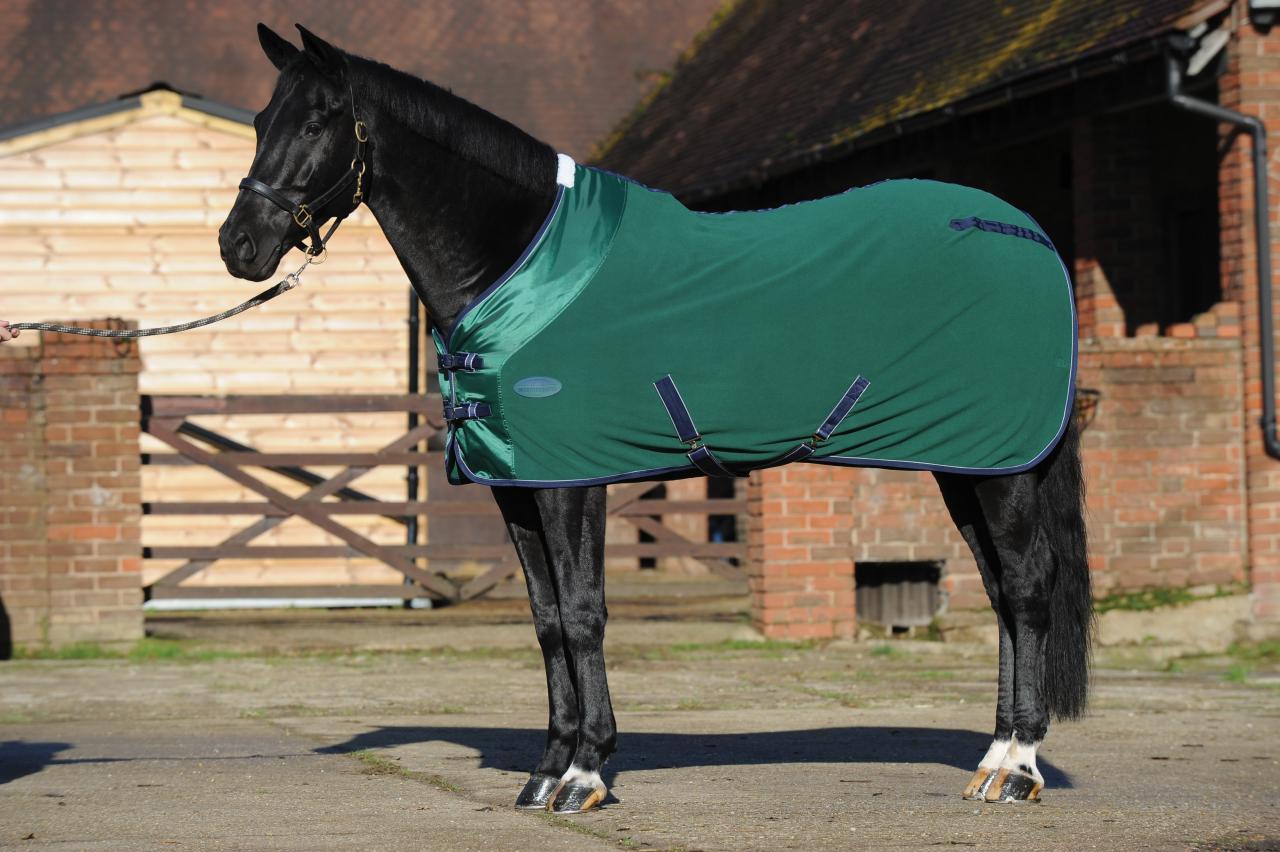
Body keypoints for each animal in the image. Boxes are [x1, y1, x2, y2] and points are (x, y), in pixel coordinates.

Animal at [217, 24, 1092, 814]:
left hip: (1005, 467)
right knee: (1000, 591)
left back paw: (1018, 768)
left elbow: (582, 614)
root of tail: (1031, 235)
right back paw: (992, 759)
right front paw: (545, 771)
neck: (516, 260)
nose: (239, 246)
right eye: (261, 120)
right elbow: (545, 620)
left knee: (1026, 588)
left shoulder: (572, 482)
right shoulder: (516, 485)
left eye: (319, 120)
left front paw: (584, 774)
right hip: (966, 465)